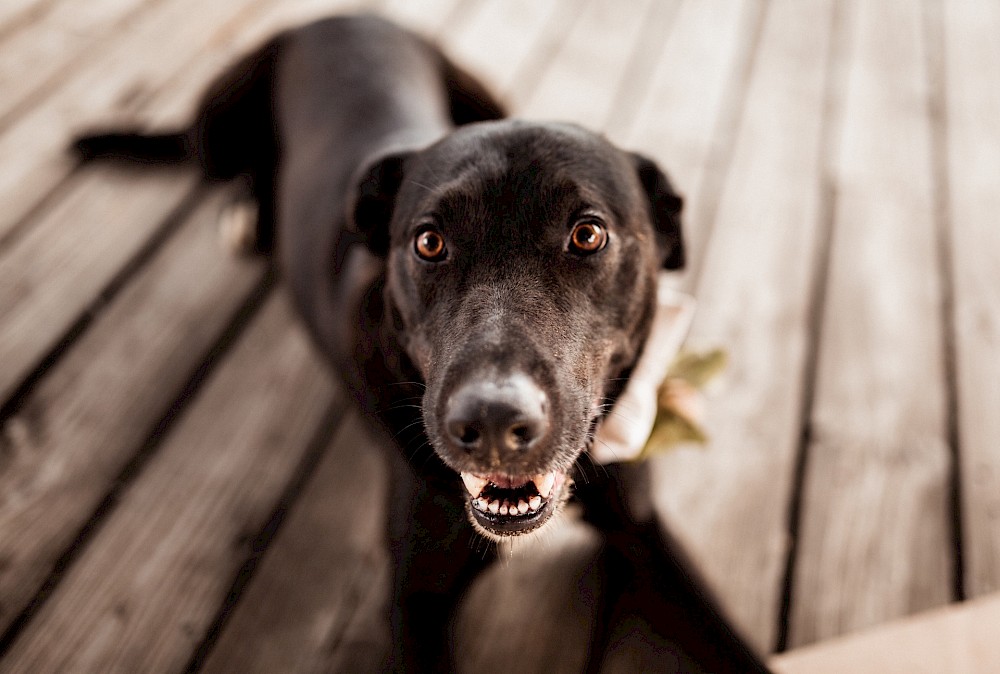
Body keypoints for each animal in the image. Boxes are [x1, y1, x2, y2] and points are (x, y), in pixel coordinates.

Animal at [74, 13, 768, 668]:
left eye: (589, 234)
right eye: (429, 242)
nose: (492, 423)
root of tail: (334, 17)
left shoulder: (645, 530)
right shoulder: (416, 599)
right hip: (216, 128)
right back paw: (242, 214)